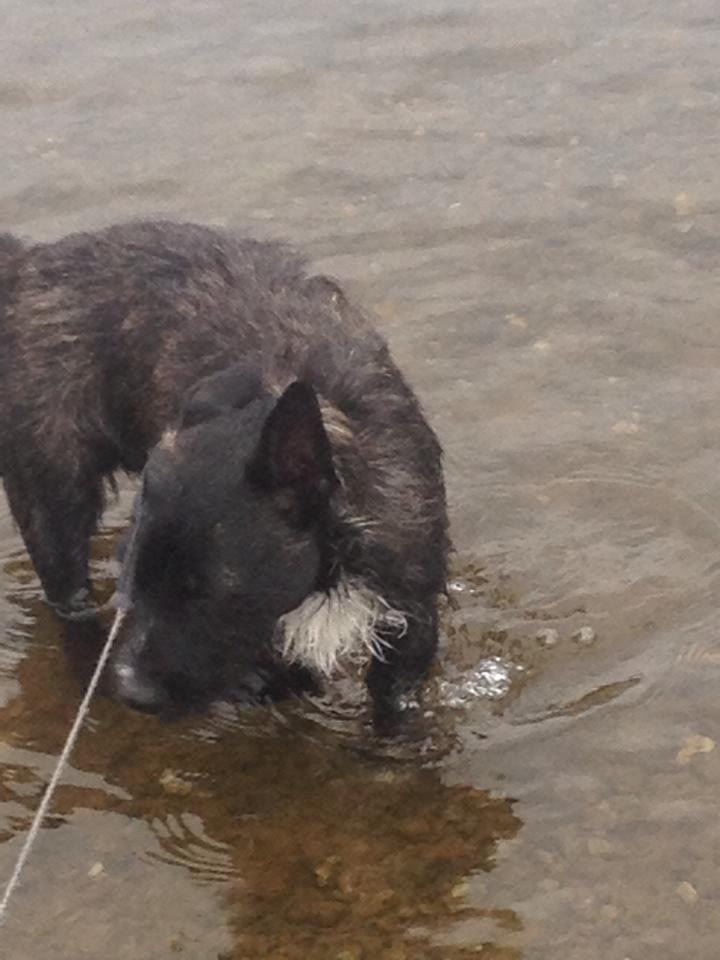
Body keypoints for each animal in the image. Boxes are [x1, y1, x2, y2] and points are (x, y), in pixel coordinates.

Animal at [0, 221, 448, 732]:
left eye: (211, 593)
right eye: (133, 576)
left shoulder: (409, 619)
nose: (132, 692)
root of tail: (28, 261)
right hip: (53, 500)